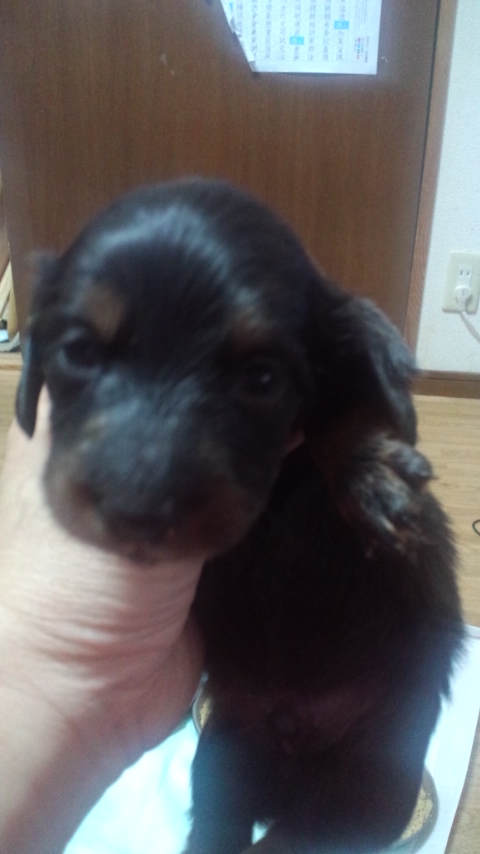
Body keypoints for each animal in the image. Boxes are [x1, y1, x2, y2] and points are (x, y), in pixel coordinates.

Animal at [17, 178, 464, 854]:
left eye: (261, 378)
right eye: (78, 352)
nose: (137, 513)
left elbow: (344, 407)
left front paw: (377, 479)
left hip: (374, 781)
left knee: (303, 833)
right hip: (224, 753)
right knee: (223, 826)